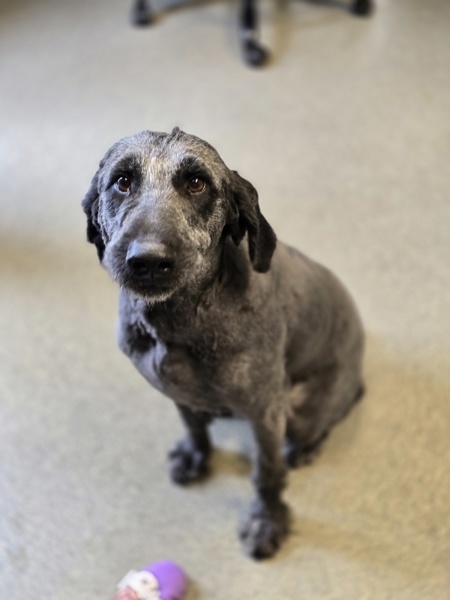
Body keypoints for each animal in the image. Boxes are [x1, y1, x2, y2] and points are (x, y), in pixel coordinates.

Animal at [82, 126, 366, 556]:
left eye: (197, 183)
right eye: (123, 181)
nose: (148, 261)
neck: (180, 323)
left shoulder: (267, 415)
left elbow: (266, 474)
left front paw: (267, 521)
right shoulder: (178, 393)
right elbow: (194, 427)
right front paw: (196, 455)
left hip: (304, 412)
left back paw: (305, 448)